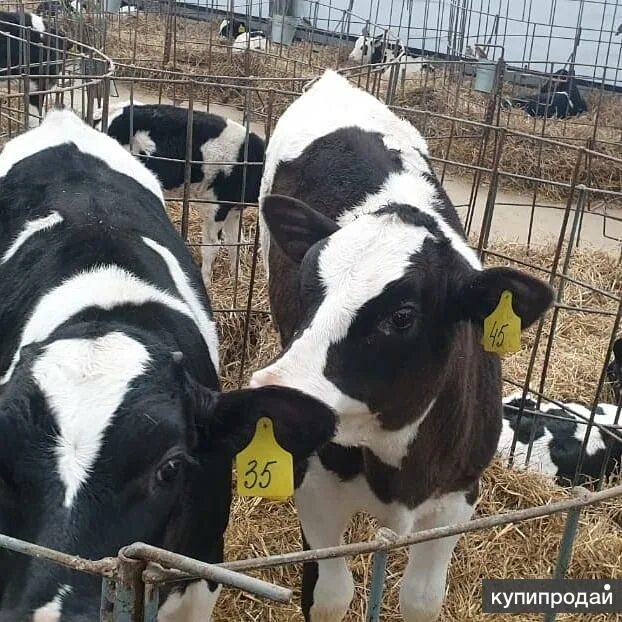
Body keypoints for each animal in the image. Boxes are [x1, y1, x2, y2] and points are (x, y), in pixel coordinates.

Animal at [97, 103, 266, 288]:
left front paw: (237, 277)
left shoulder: (234, 210)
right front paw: (206, 281)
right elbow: (211, 245)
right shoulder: (216, 206)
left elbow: (234, 242)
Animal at [254, 68, 556, 622]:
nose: (272, 393)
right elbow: (330, 594)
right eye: (306, 286)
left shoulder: (458, 499)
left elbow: (420, 599)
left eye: (402, 317)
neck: (395, 461)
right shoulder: (315, 485)